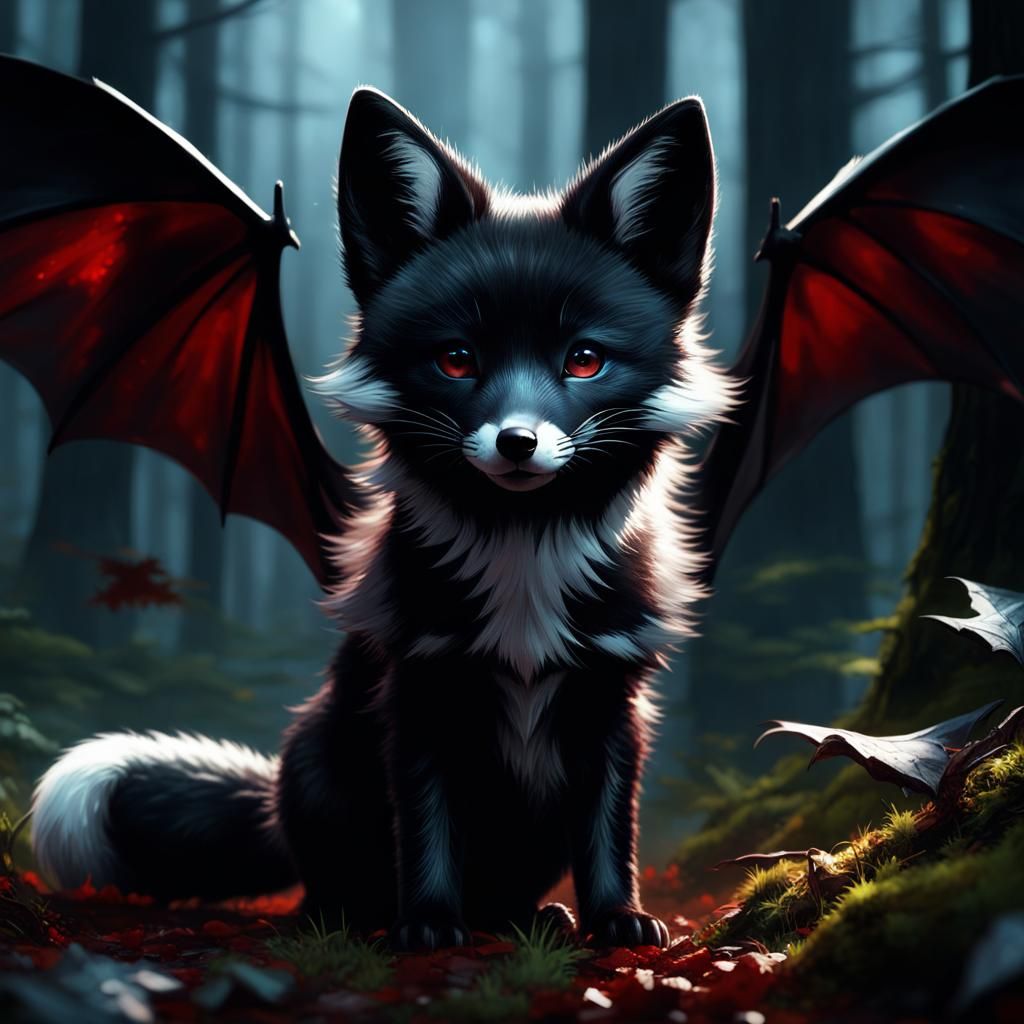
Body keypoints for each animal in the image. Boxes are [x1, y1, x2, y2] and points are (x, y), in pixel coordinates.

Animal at [30, 86, 735, 951]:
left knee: (510, 889)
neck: (522, 555)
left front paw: (617, 919)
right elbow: (425, 829)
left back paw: (536, 915)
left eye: (584, 359)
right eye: (457, 359)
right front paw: (426, 923)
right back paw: (348, 917)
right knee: (328, 882)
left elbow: (609, 829)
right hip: (316, 760)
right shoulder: (419, 688)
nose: (517, 442)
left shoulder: (611, 695)